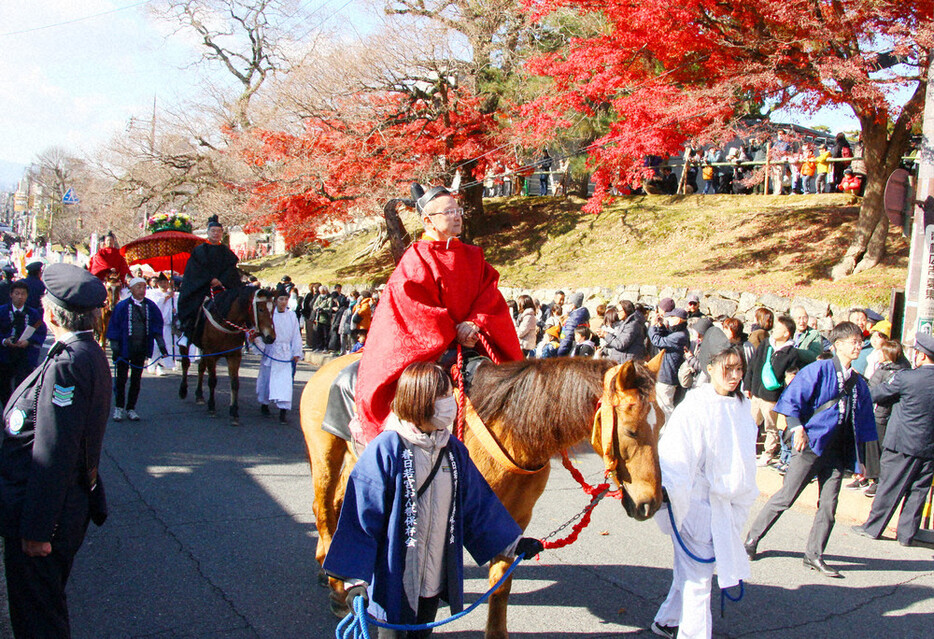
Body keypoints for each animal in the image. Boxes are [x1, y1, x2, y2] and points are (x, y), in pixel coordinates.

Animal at [178, 288, 274, 428]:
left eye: (273, 309)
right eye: (261, 309)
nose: (271, 337)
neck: (226, 323)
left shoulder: (234, 355)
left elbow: (234, 383)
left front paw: (234, 412)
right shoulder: (211, 354)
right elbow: (212, 381)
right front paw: (212, 407)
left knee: (201, 367)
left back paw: (199, 395)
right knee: (186, 363)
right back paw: (183, 390)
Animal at [302, 352, 664, 636]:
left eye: (661, 426)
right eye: (631, 430)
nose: (651, 503)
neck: (515, 433)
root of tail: (331, 365)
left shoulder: (513, 518)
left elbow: (501, 584)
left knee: (340, 503)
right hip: (325, 451)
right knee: (323, 508)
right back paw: (336, 587)